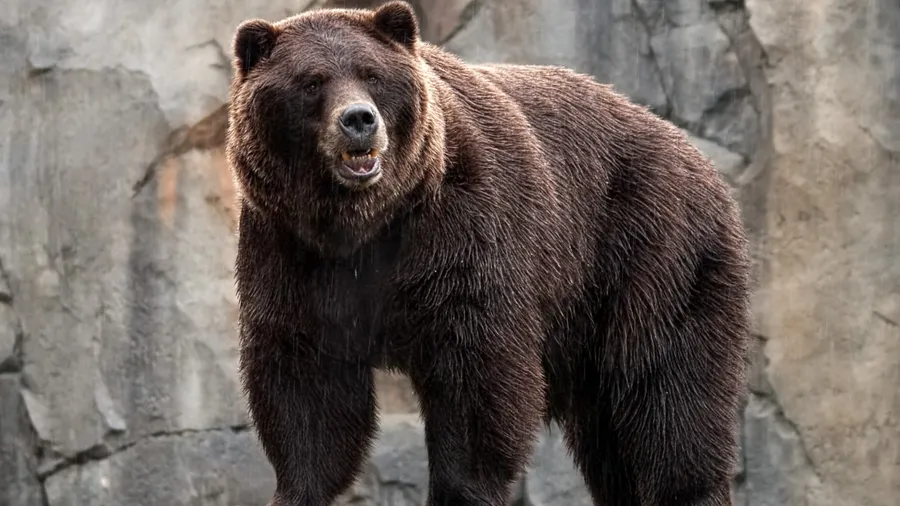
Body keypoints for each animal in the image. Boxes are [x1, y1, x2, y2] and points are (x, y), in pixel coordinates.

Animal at [225, 2, 752, 505]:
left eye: (371, 74)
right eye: (312, 82)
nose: (359, 120)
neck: (366, 224)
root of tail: (693, 152)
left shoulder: (463, 232)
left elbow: (477, 375)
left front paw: (461, 490)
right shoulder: (291, 253)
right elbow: (306, 384)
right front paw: (296, 488)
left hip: (651, 251)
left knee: (668, 393)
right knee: (610, 438)